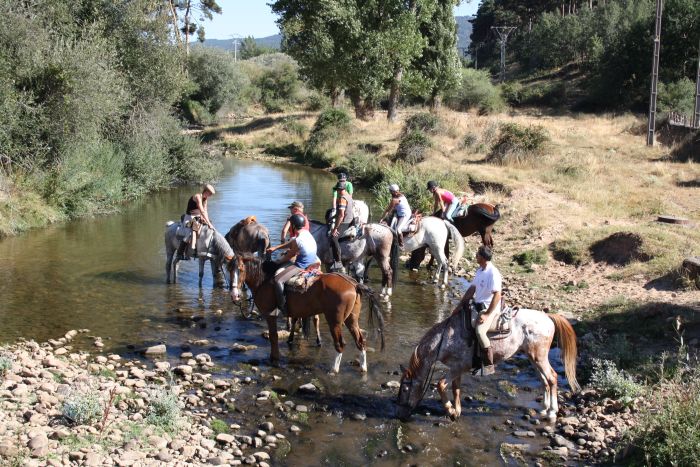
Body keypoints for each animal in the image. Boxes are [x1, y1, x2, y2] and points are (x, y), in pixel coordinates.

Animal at [230, 254, 386, 372]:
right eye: (229, 270)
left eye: (241, 269)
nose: (234, 295)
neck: (265, 280)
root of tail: (354, 284)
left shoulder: (270, 314)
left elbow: (273, 337)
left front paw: (274, 359)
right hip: (351, 319)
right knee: (360, 341)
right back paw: (363, 368)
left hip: (334, 321)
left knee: (340, 344)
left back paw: (333, 370)